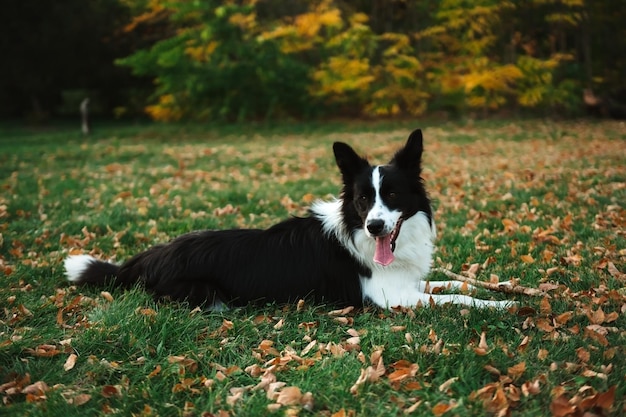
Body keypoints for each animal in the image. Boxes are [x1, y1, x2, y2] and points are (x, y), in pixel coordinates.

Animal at [66, 130, 510, 308]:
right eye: (363, 199)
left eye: (393, 195)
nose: (375, 226)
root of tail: (147, 257)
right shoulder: (389, 297)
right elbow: (458, 297)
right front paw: (503, 306)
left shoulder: (407, 281)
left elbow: (447, 283)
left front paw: (503, 286)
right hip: (208, 296)